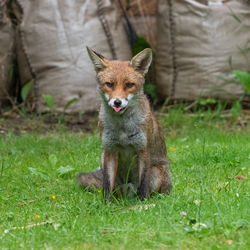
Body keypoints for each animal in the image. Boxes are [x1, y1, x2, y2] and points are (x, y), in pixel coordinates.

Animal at [79, 47, 171, 201]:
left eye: (129, 85)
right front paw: (105, 204)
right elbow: (106, 184)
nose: (117, 102)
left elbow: (143, 183)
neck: (122, 128)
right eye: (109, 84)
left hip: (156, 173)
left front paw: (143, 202)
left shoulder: (142, 149)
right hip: (103, 161)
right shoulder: (110, 150)